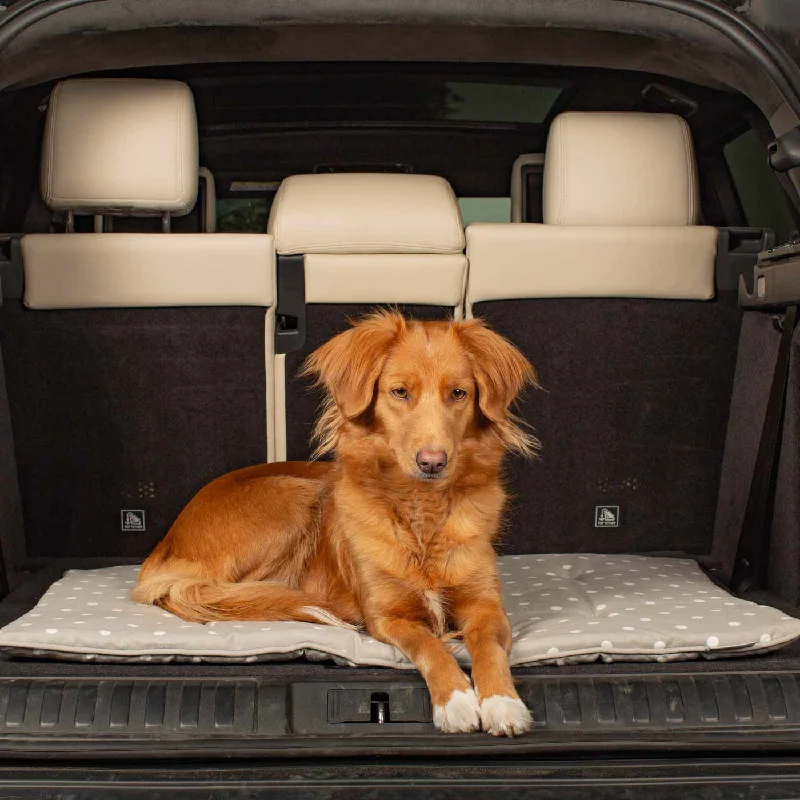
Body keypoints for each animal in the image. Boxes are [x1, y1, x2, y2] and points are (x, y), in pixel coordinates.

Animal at [136, 310, 536, 736]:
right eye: (399, 392)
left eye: (458, 394)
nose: (432, 462)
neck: (421, 510)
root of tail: (166, 543)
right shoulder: (387, 616)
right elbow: (429, 645)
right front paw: (456, 699)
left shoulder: (487, 608)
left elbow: (489, 649)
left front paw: (502, 702)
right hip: (294, 498)